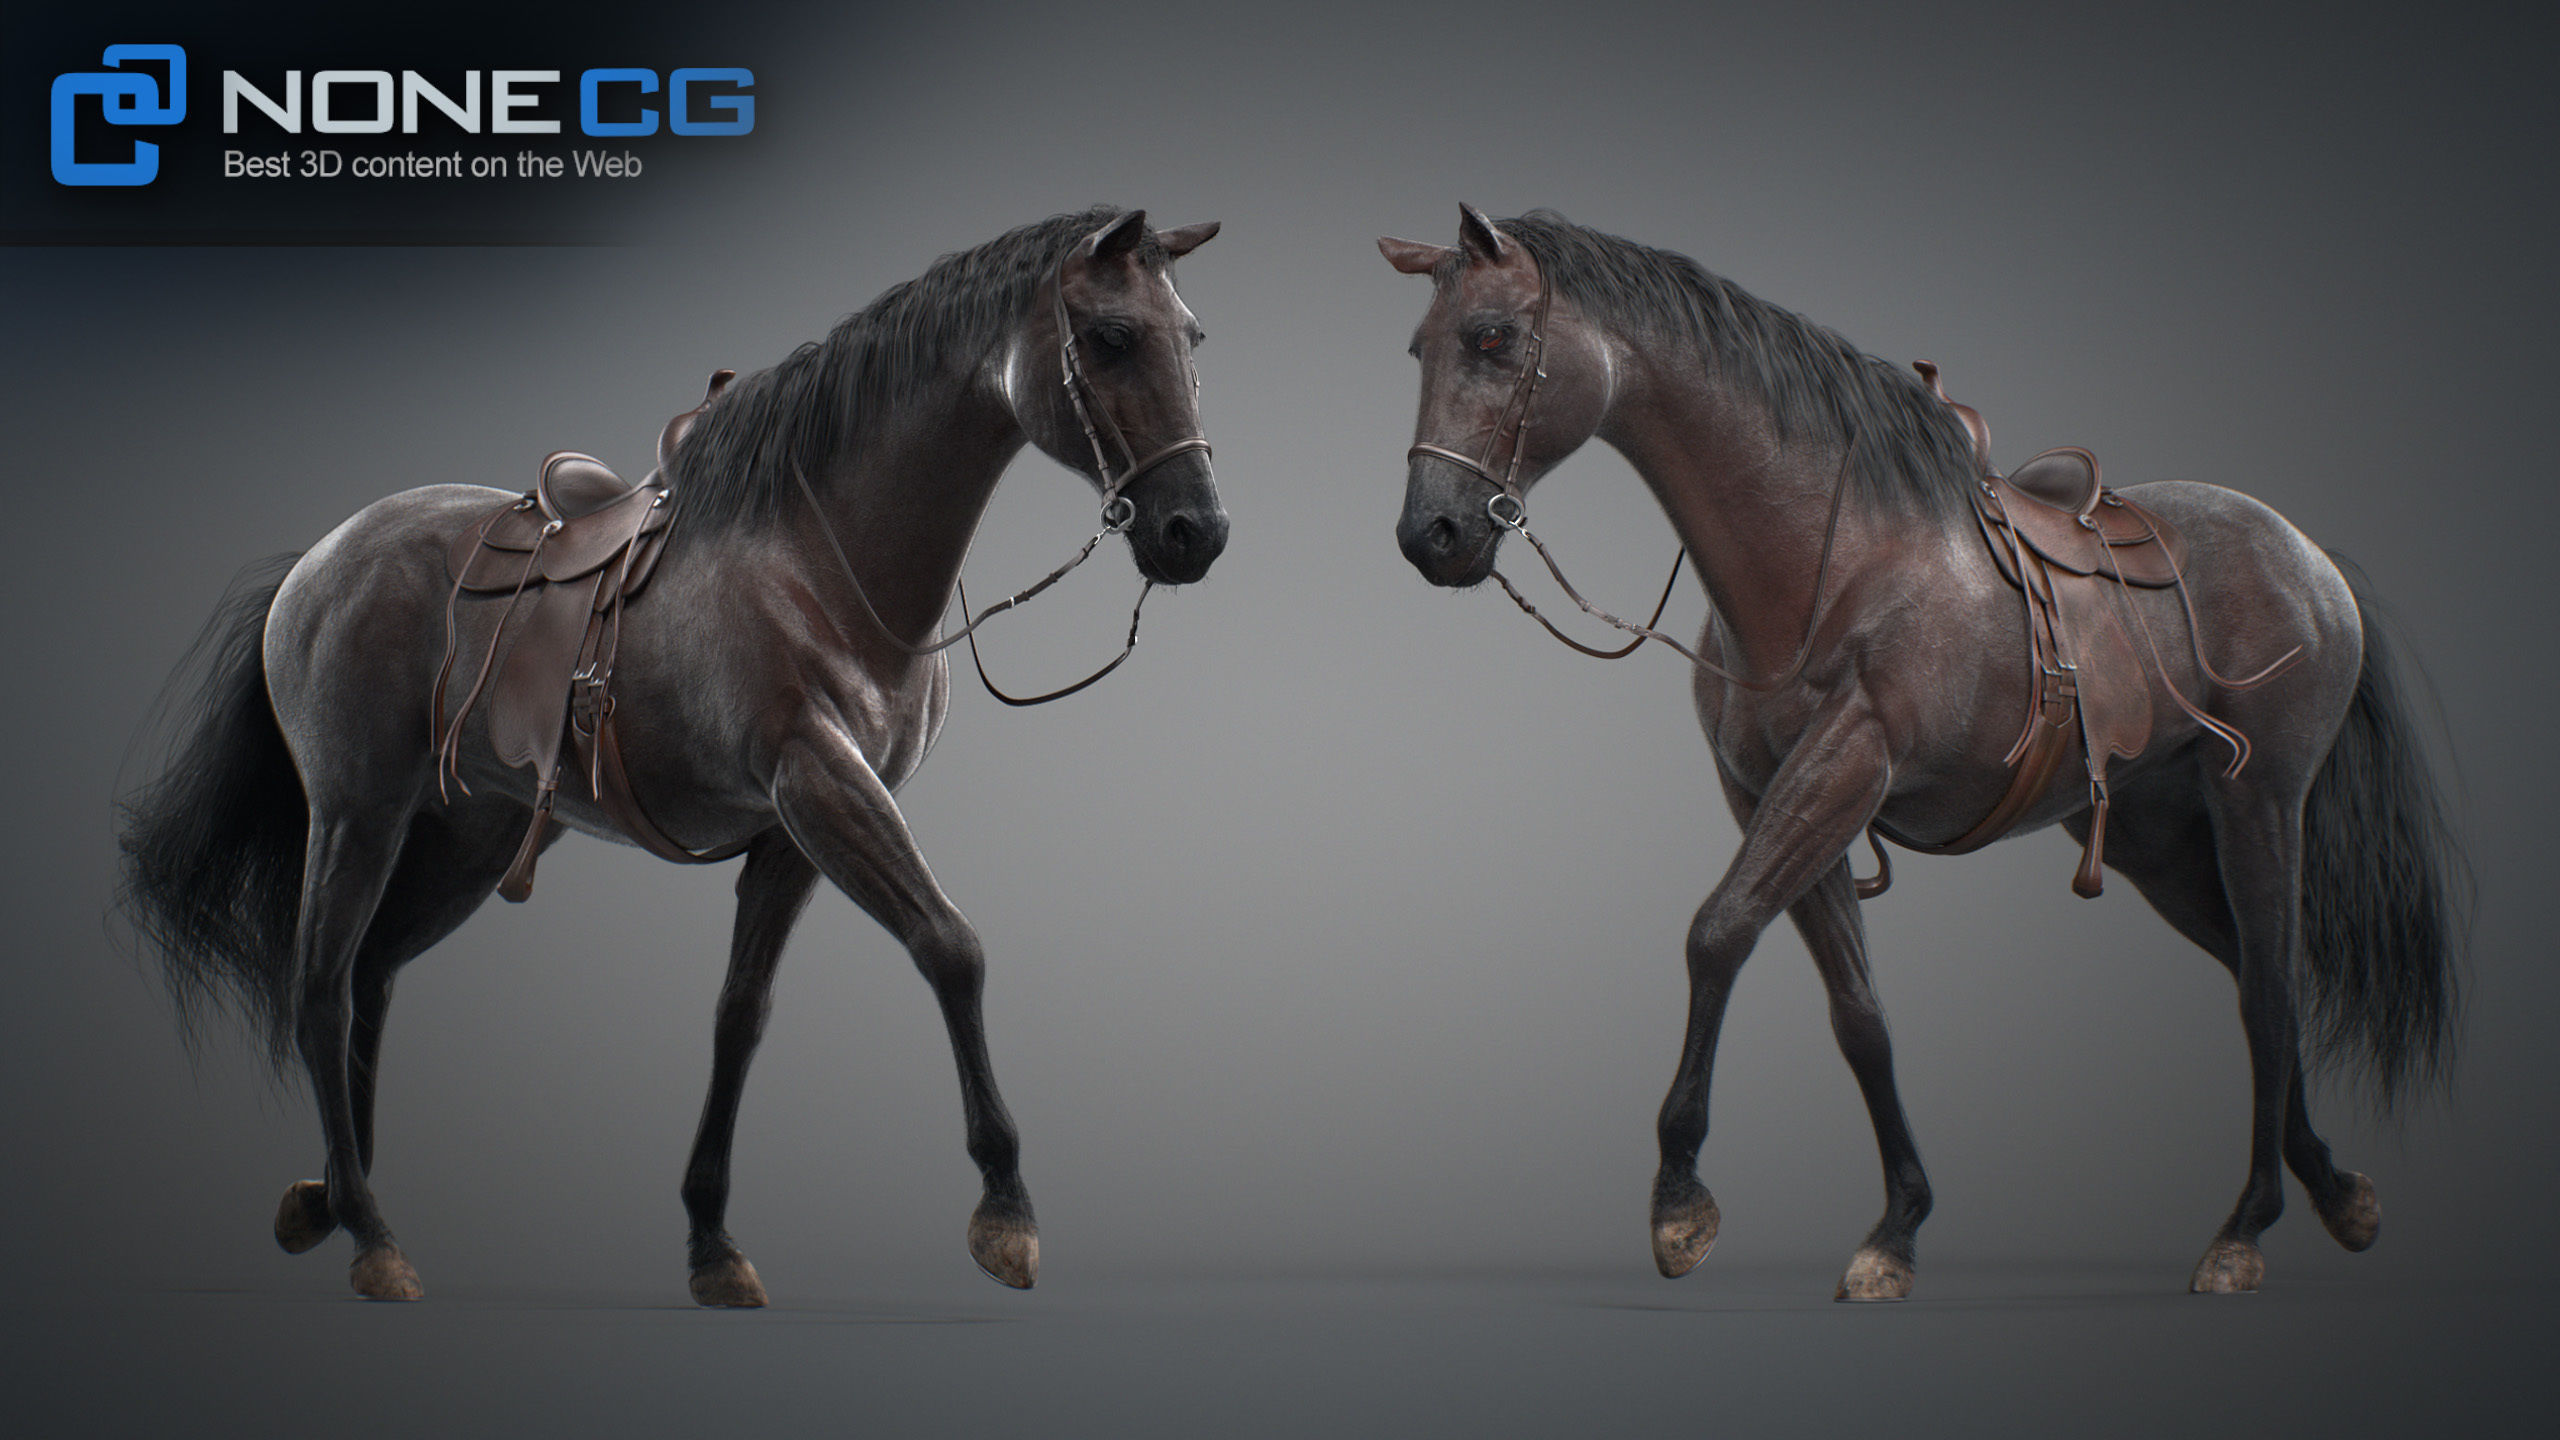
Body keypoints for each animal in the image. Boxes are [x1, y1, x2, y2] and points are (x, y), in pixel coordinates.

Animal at [117, 205, 1229, 1304]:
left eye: (1194, 337)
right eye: (1111, 338)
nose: (1198, 532)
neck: (820, 561)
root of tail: (317, 562)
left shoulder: (791, 832)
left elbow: (740, 1014)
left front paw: (709, 1237)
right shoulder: (822, 784)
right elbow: (951, 946)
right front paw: (1005, 1210)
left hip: (469, 836)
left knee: (373, 973)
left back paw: (329, 1195)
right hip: (357, 813)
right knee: (317, 985)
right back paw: (371, 1234)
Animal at [1380, 205, 2463, 1299]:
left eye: (1493, 340)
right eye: (1420, 349)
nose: (1431, 535)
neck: (1833, 564)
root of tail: (2310, 562)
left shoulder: (1847, 769)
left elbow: (1716, 932)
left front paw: (1678, 1202)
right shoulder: (1770, 796)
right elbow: (1858, 1012)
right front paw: (1897, 1225)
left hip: (2260, 803)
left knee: (2274, 984)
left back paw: (2245, 1228)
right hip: (2154, 841)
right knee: (2251, 969)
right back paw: (2334, 1191)